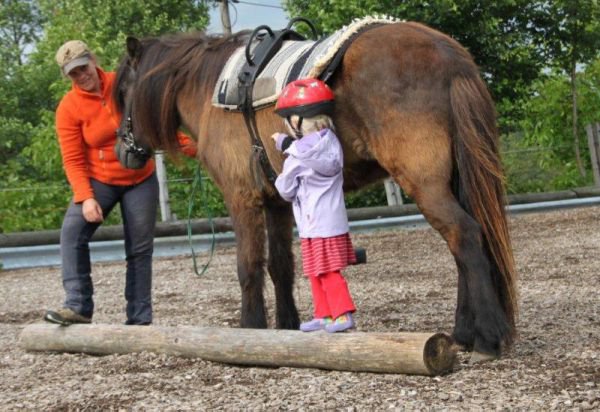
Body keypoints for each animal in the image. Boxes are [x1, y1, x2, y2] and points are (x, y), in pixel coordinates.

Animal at [113, 21, 518, 361]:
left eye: (122, 93)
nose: (122, 151)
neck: (211, 88)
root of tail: (451, 57)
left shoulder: (242, 198)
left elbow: (248, 266)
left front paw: (251, 328)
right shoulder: (277, 202)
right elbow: (280, 266)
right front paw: (287, 328)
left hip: (425, 183)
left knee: (464, 236)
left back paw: (485, 338)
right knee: (467, 243)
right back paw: (464, 333)